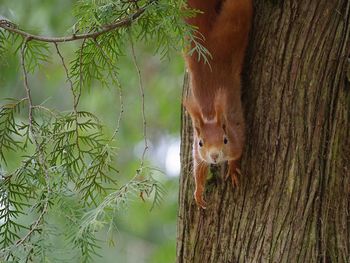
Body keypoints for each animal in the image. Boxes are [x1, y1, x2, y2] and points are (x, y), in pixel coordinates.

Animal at [183, 0, 252, 210]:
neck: (210, 113)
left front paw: (233, 168)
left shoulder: (238, 138)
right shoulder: (197, 153)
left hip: (235, 24)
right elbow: (199, 168)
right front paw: (198, 192)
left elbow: (237, 154)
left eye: (225, 140)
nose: (214, 156)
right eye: (201, 142)